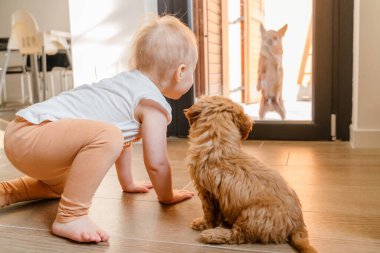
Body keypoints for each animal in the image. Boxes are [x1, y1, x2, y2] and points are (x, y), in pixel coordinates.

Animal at [185, 96, 318, 252]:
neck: (218, 143)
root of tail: (298, 226)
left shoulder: (206, 191)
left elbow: (208, 212)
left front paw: (202, 223)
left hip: (251, 215)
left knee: (239, 235)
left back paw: (213, 234)